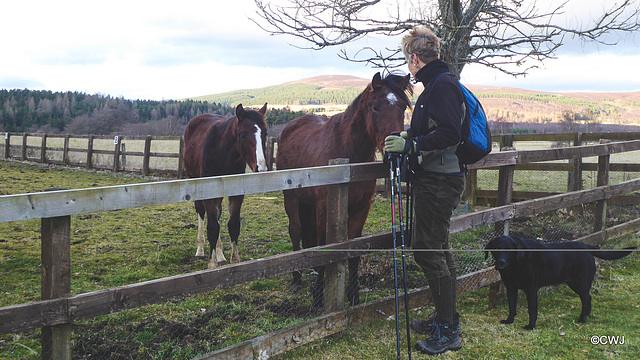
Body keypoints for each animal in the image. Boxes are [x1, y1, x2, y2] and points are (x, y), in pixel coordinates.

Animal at [182, 102, 268, 268]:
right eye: (243, 135)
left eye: (265, 134)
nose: (261, 168)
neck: (222, 153)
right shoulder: (208, 193)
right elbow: (212, 227)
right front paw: (212, 264)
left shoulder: (236, 193)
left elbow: (233, 225)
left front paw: (234, 261)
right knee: (201, 212)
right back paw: (200, 250)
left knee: (217, 215)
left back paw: (220, 254)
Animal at [278, 74, 412, 310]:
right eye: (375, 107)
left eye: (403, 106)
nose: (393, 153)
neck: (349, 156)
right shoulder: (325, 209)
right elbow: (324, 249)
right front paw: (318, 298)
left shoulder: (361, 209)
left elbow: (353, 254)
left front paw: (354, 297)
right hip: (291, 198)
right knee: (295, 230)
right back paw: (296, 278)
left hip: (307, 203)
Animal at [488, 235, 632, 330]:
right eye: (496, 248)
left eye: (508, 250)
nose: (501, 262)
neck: (516, 263)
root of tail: (586, 246)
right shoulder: (511, 288)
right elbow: (512, 307)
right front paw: (509, 321)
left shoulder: (531, 290)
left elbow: (532, 311)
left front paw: (531, 326)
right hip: (574, 284)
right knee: (589, 297)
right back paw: (587, 315)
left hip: (580, 283)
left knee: (585, 299)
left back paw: (582, 319)